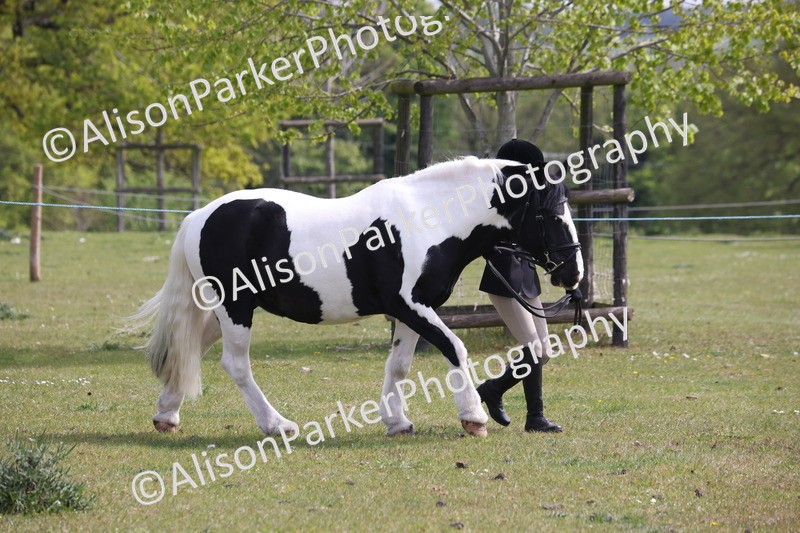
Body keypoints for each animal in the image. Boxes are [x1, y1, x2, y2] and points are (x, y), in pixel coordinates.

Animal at [130, 155, 583, 438]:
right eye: (548, 214)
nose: (573, 273)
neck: (430, 220)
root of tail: (198, 216)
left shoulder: (415, 311)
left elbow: (400, 365)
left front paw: (397, 422)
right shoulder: (410, 306)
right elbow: (455, 348)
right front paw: (473, 417)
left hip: (224, 308)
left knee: (190, 347)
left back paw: (166, 415)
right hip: (235, 308)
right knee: (235, 364)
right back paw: (278, 425)